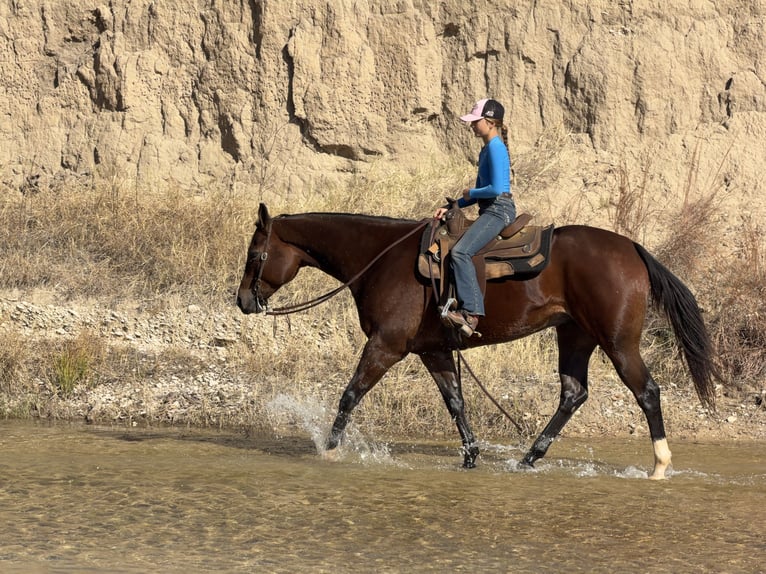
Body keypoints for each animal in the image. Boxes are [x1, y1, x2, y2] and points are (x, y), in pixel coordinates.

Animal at [237, 203, 718, 479]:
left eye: (255, 254)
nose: (243, 301)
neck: (381, 259)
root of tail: (633, 248)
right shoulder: (433, 350)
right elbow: (455, 402)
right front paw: (470, 457)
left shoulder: (386, 345)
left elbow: (350, 394)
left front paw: (330, 451)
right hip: (574, 335)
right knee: (572, 393)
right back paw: (528, 458)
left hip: (618, 342)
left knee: (646, 391)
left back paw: (659, 466)